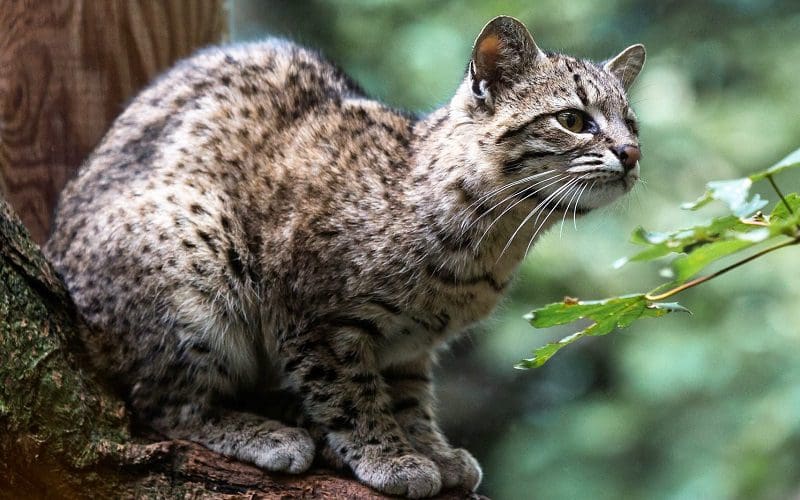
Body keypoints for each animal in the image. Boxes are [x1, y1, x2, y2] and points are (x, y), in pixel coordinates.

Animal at [45, 14, 644, 496]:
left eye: (632, 123)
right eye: (573, 119)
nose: (633, 153)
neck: (493, 244)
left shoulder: (411, 347)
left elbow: (410, 399)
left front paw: (430, 449)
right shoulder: (312, 321)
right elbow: (349, 394)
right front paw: (390, 457)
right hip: (195, 258)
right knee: (162, 405)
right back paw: (269, 434)